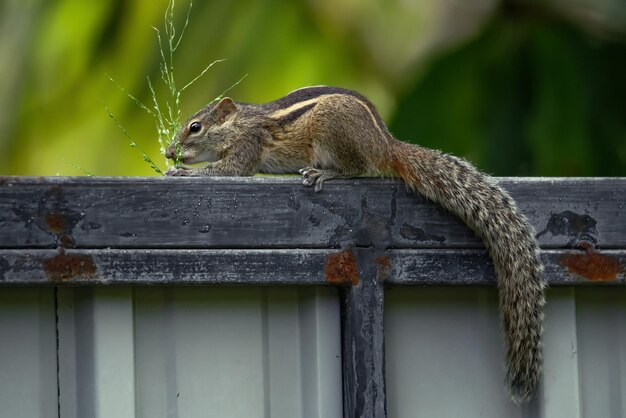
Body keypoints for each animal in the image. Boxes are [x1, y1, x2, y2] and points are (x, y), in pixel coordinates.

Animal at [163, 85, 544, 402]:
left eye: (195, 127)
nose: (168, 153)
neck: (240, 122)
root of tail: (387, 145)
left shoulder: (247, 146)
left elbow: (227, 170)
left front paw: (181, 172)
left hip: (333, 131)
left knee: (357, 168)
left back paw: (324, 172)